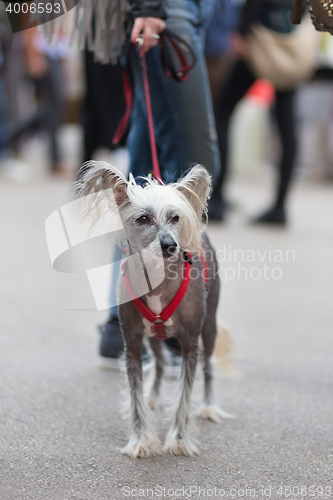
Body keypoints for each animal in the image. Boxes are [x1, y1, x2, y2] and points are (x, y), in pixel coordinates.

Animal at [75, 163, 232, 458]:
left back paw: (209, 406)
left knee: (207, 368)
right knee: (159, 364)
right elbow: (135, 396)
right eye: (144, 218)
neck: (158, 278)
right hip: (153, 338)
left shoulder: (190, 345)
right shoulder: (133, 344)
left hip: (210, 326)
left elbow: (184, 396)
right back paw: (154, 394)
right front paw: (141, 440)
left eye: (175, 217)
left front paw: (179, 439)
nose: (171, 245)